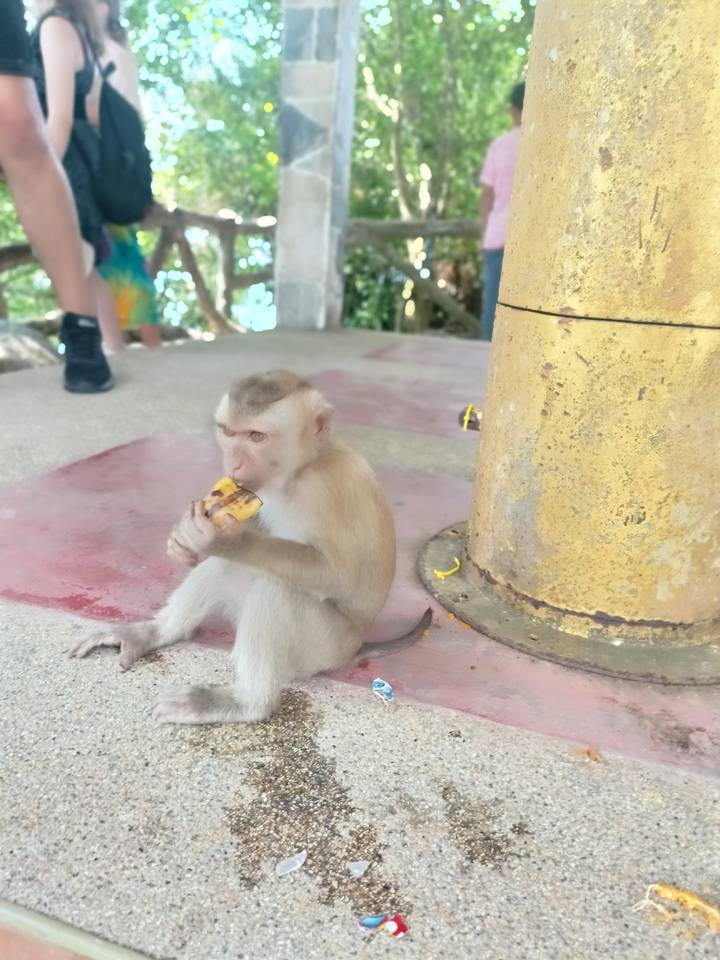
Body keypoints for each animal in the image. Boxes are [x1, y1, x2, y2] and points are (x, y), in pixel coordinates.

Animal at [70, 370, 431, 724]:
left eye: (257, 436)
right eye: (229, 433)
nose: (234, 464)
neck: (301, 470)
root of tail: (354, 646)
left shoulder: (326, 491)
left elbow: (339, 576)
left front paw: (227, 540)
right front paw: (183, 539)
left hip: (322, 648)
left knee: (278, 588)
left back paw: (247, 703)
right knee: (224, 567)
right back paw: (153, 633)